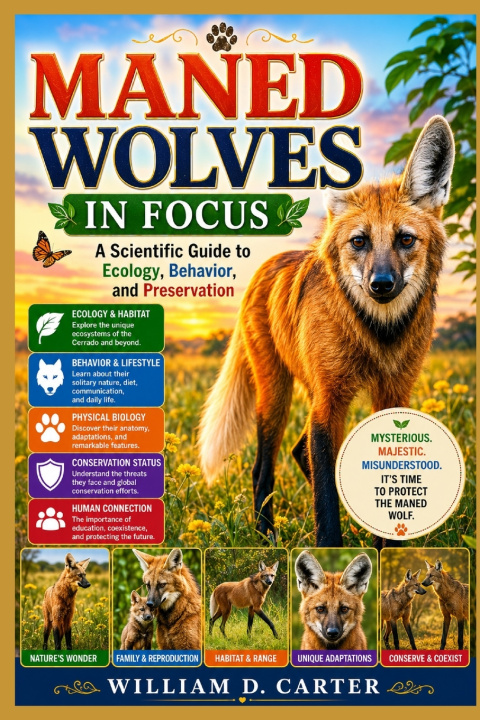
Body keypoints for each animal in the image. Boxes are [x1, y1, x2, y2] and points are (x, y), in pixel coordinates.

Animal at [198, 116, 455, 548]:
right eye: (359, 241)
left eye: (405, 239)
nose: (381, 284)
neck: (377, 335)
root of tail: (267, 264)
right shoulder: (330, 399)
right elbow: (325, 504)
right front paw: (332, 549)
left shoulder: (392, 394)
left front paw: (387, 551)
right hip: (276, 394)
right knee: (263, 468)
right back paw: (267, 537)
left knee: (301, 452)